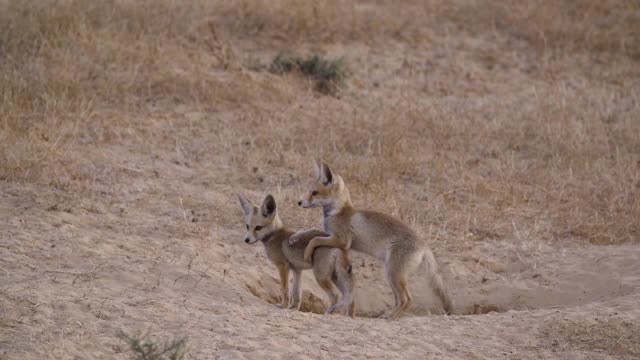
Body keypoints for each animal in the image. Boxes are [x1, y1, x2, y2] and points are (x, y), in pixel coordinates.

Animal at [292, 160, 452, 318]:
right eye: (309, 191)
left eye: (314, 193)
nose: (299, 202)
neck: (338, 212)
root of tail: (423, 244)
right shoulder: (329, 234)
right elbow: (311, 231)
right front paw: (295, 237)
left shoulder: (342, 240)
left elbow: (315, 240)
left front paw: (307, 252)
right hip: (390, 274)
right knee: (399, 299)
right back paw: (389, 314)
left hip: (394, 274)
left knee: (407, 299)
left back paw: (391, 317)